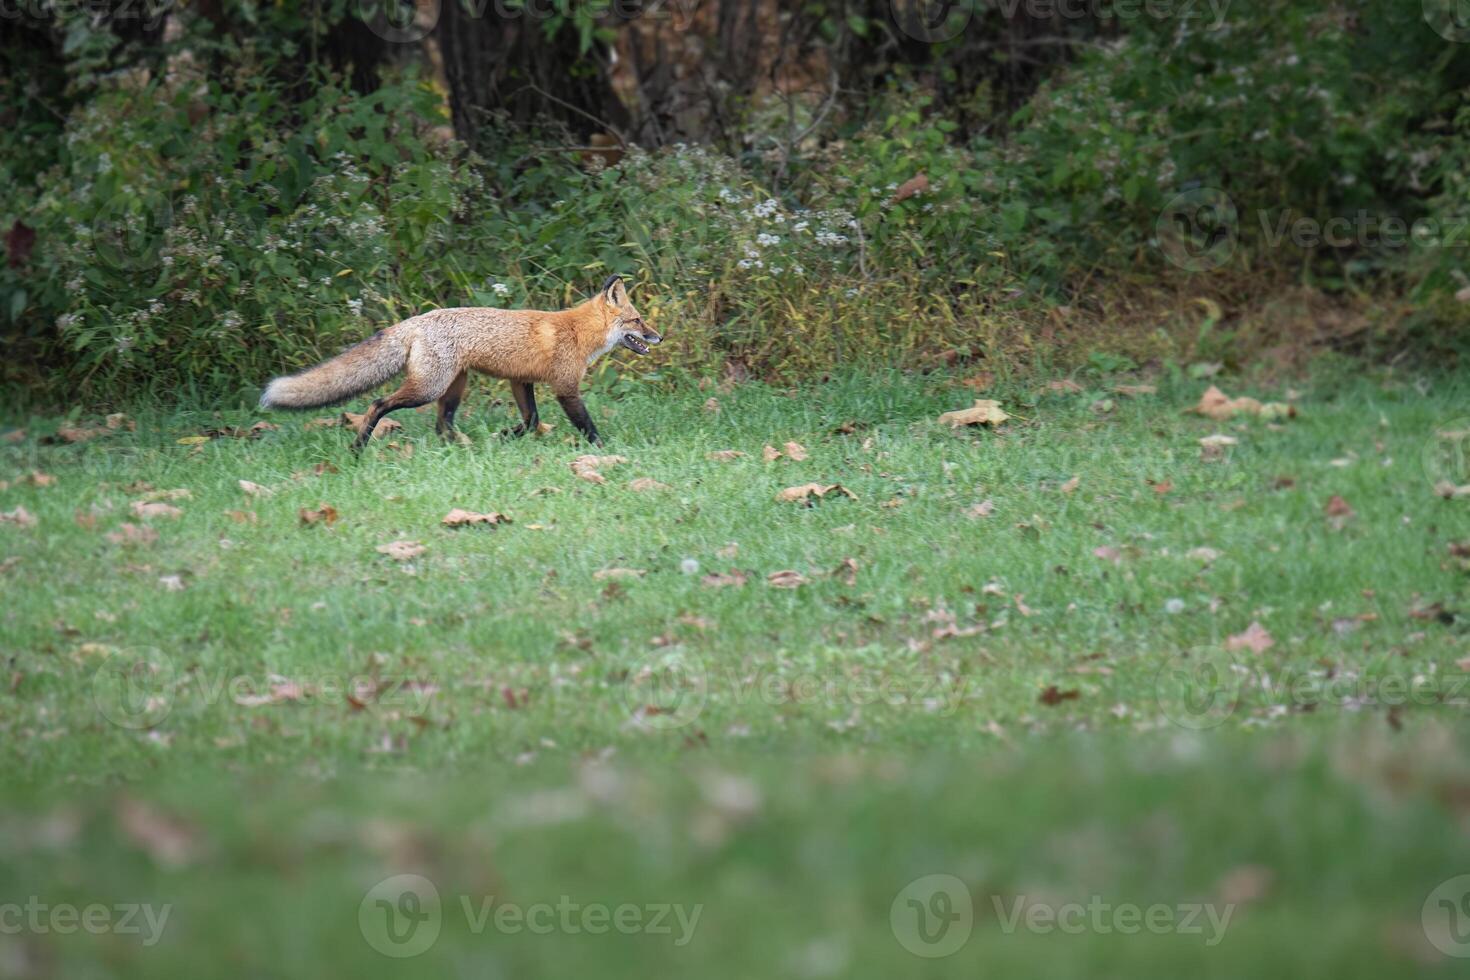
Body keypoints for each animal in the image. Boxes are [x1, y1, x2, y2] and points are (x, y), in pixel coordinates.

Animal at [260, 271, 661, 449]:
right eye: (638, 320)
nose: (660, 337)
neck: (578, 333)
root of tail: (417, 320)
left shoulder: (521, 381)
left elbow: (531, 420)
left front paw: (505, 437)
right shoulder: (565, 387)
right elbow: (586, 425)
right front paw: (604, 450)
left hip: (454, 388)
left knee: (442, 425)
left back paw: (464, 446)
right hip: (428, 387)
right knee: (378, 403)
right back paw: (359, 448)